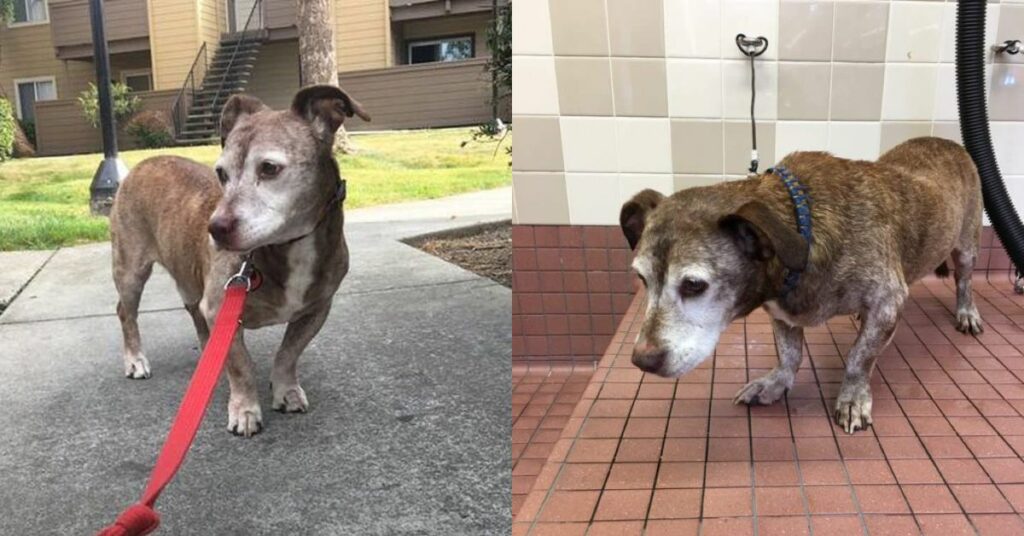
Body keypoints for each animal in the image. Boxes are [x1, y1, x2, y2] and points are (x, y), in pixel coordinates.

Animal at [110, 84, 372, 436]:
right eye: (221, 173)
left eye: (269, 168)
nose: (215, 229)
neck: (286, 248)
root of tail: (144, 163)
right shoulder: (221, 307)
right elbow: (241, 365)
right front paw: (245, 409)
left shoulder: (316, 310)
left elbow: (288, 352)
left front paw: (286, 389)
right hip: (131, 269)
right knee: (126, 312)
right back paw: (136, 359)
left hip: (189, 278)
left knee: (193, 312)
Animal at [618, 136, 987, 434]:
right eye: (642, 279)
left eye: (694, 285)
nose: (642, 361)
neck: (802, 229)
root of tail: (946, 142)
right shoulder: (782, 311)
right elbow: (790, 353)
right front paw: (776, 382)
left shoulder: (888, 302)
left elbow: (859, 356)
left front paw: (853, 397)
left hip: (967, 245)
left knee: (964, 279)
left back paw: (967, 312)